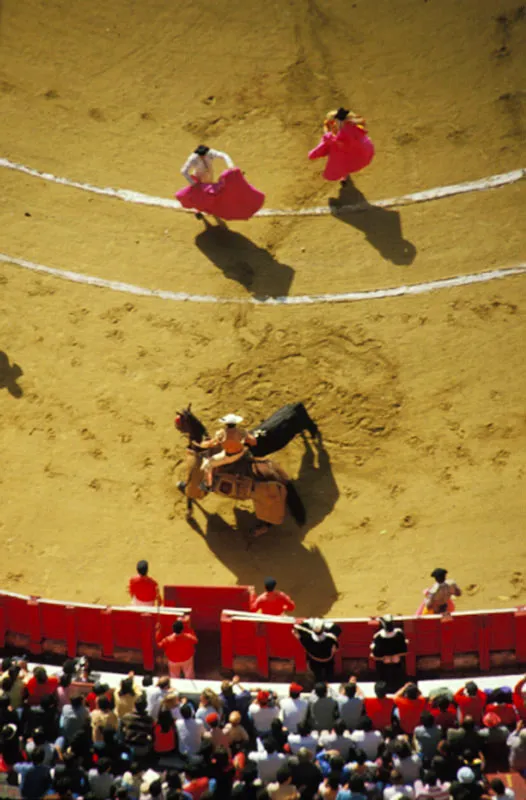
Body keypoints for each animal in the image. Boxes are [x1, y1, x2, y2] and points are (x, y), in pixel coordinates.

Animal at [175, 404, 314, 536]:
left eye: (179, 420)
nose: (176, 426)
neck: (201, 450)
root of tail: (281, 475)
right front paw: (180, 487)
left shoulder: (194, 481)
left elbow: (189, 495)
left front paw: (188, 513)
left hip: (267, 504)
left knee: (269, 521)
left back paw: (257, 531)